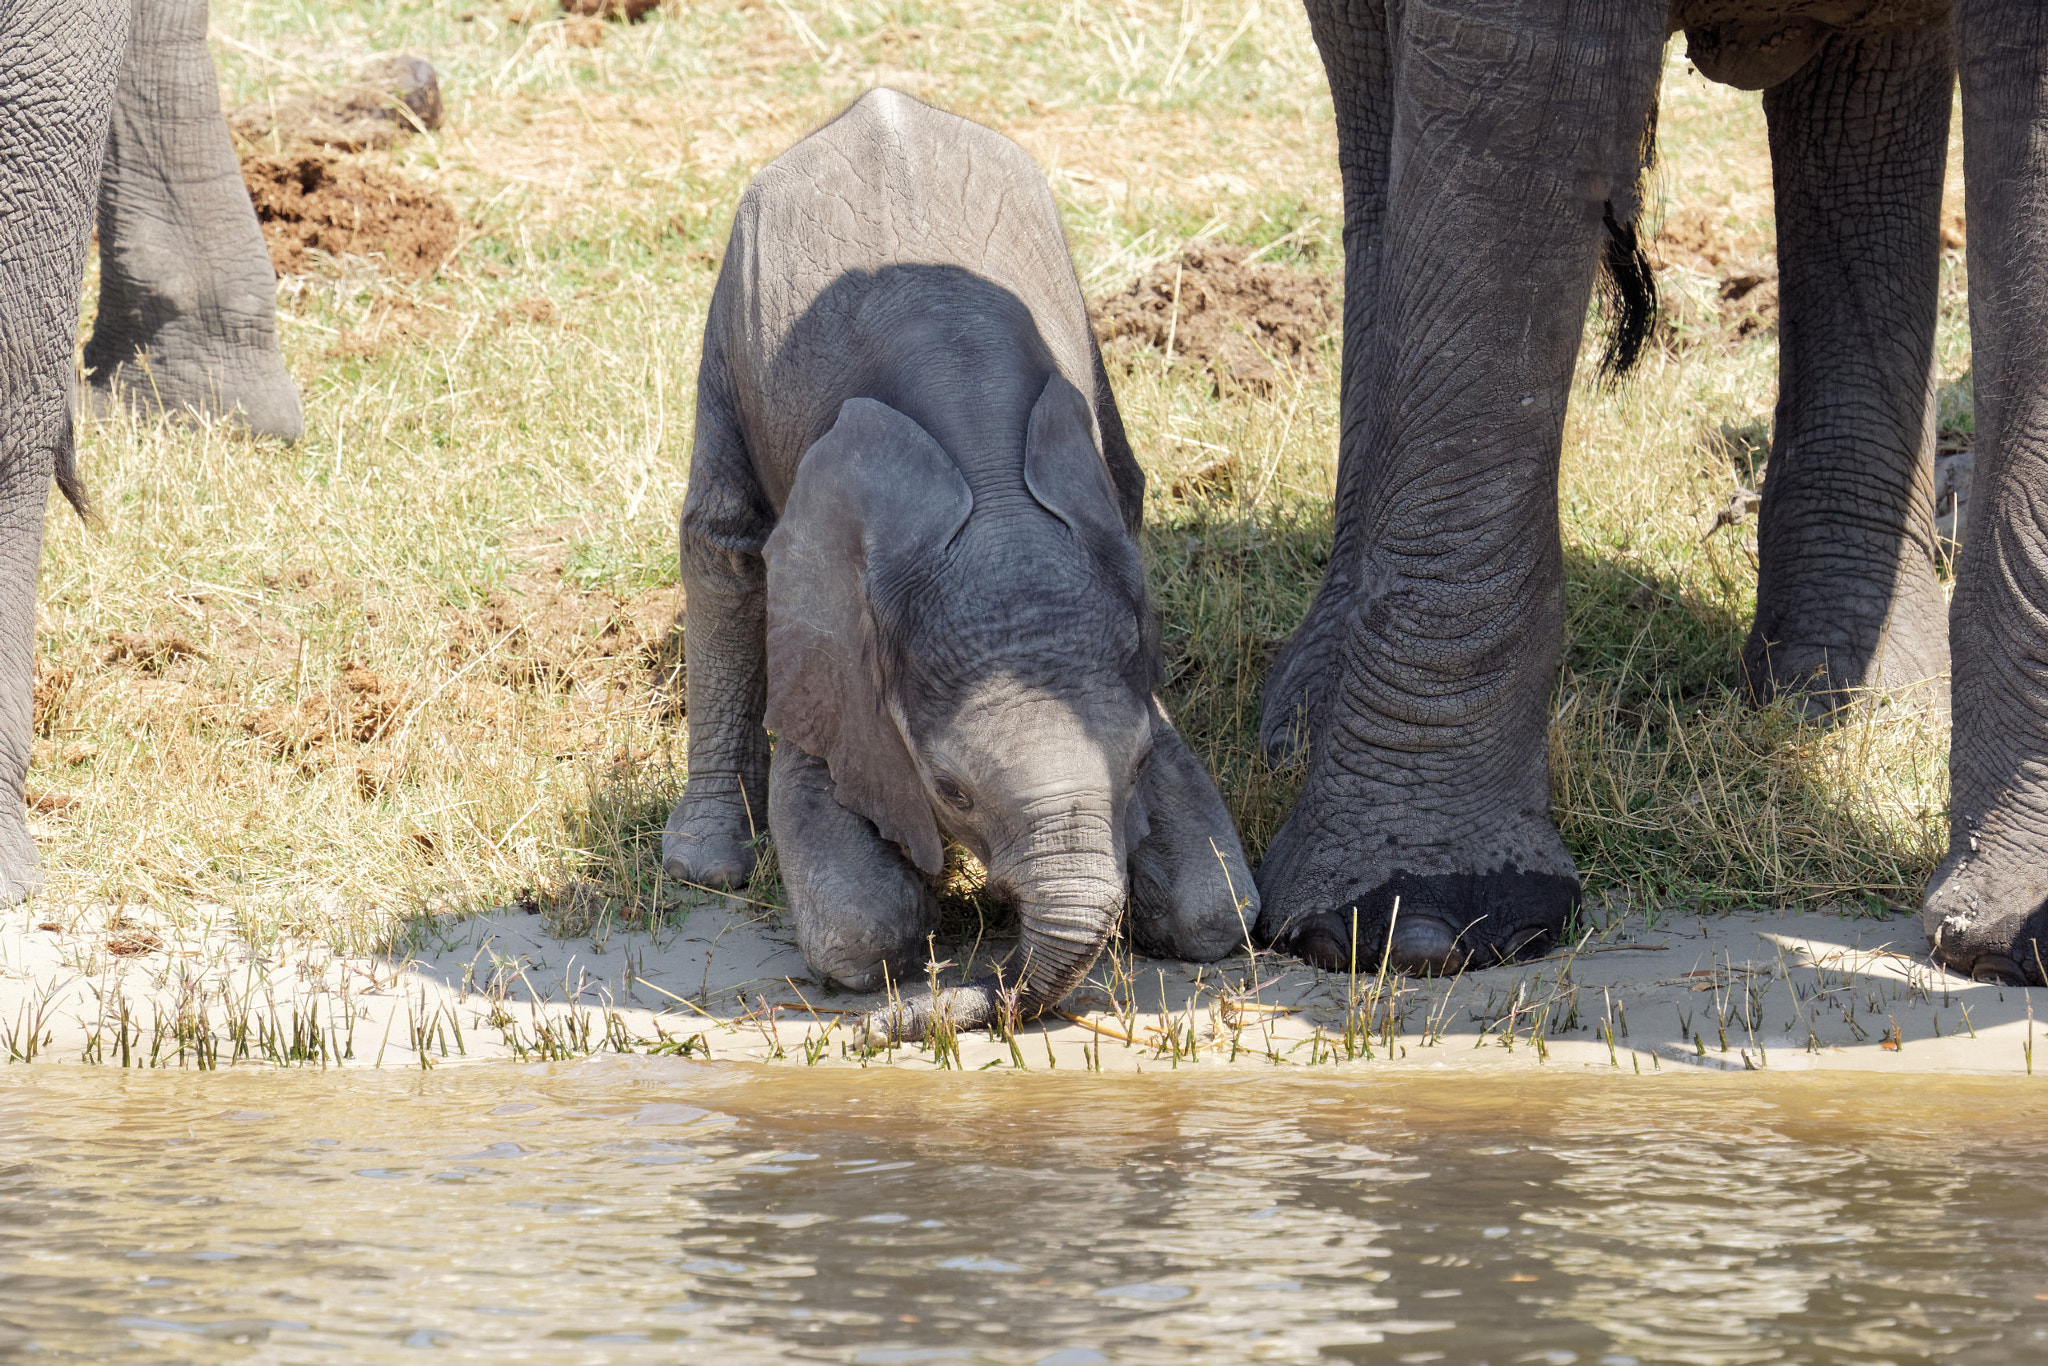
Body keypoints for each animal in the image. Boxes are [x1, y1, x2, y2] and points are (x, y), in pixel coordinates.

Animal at [663, 90, 1253, 1040]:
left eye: (1132, 768)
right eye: (953, 790)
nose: (990, 987)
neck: (997, 508)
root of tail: (876, 101)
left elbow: (1215, 909)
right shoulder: (841, 645)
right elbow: (860, 924)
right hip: (731, 313)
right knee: (723, 546)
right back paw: (705, 861)